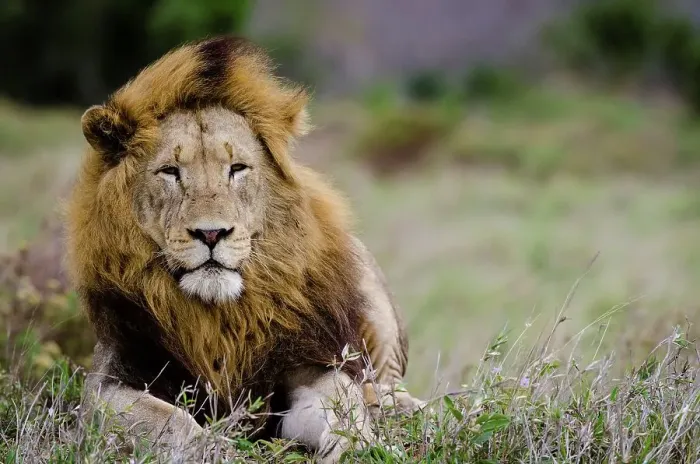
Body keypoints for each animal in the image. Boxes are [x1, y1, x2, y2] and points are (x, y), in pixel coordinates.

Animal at [65, 36, 423, 462]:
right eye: (170, 172)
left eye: (236, 168)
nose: (211, 233)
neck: (221, 317)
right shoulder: (107, 385)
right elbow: (170, 423)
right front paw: (216, 449)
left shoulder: (306, 364)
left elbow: (343, 405)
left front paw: (358, 446)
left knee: (386, 381)